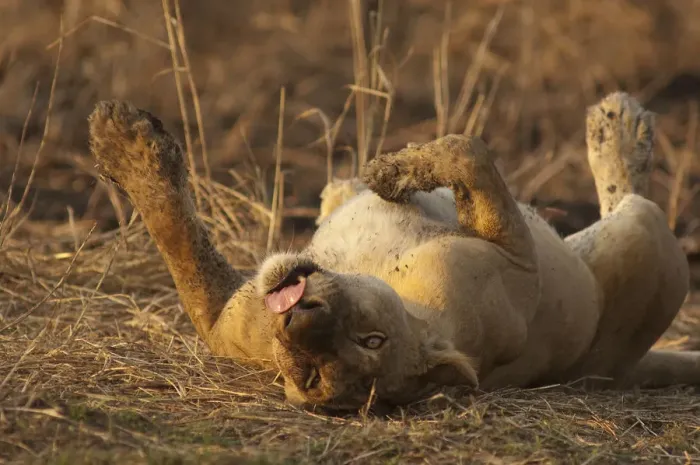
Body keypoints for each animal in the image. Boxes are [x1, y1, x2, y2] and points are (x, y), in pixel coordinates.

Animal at [87, 92, 695, 411]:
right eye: (308, 374)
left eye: (372, 341)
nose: (298, 321)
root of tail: (620, 371)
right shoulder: (228, 322)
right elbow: (180, 244)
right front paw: (127, 145)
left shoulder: (519, 267)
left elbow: (467, 150)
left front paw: (390, 172)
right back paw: (619, 125)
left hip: (638, 231)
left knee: (627, 193)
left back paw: (619, 127)